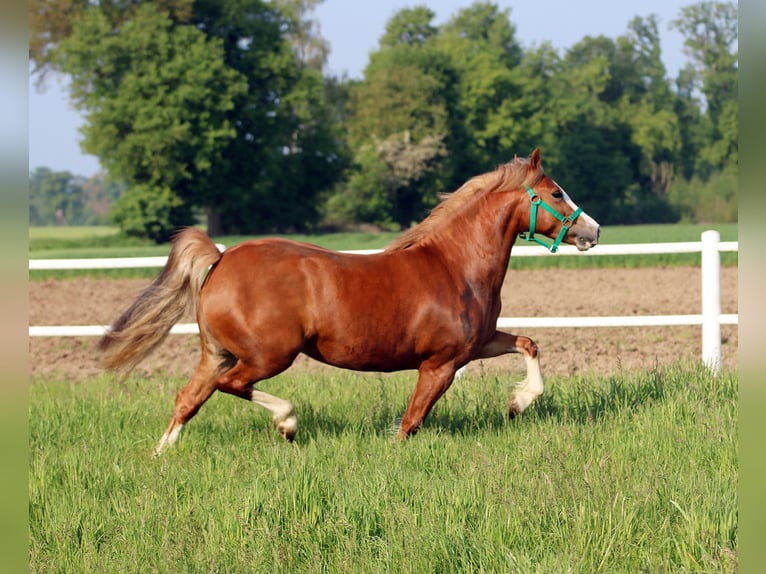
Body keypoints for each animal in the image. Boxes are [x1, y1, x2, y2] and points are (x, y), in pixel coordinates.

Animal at [99, 150, 600, 460]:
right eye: (556, 194)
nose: (593, 231)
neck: (455, 266)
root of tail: (221, 260)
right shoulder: (440, 363)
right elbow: (411, 422)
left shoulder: (478, 344)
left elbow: (529, 344)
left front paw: (518, 403)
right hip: (268, 355)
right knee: (232, 386)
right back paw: (287, 423)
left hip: (216, 353)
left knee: (188, 398)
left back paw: (159, 456)